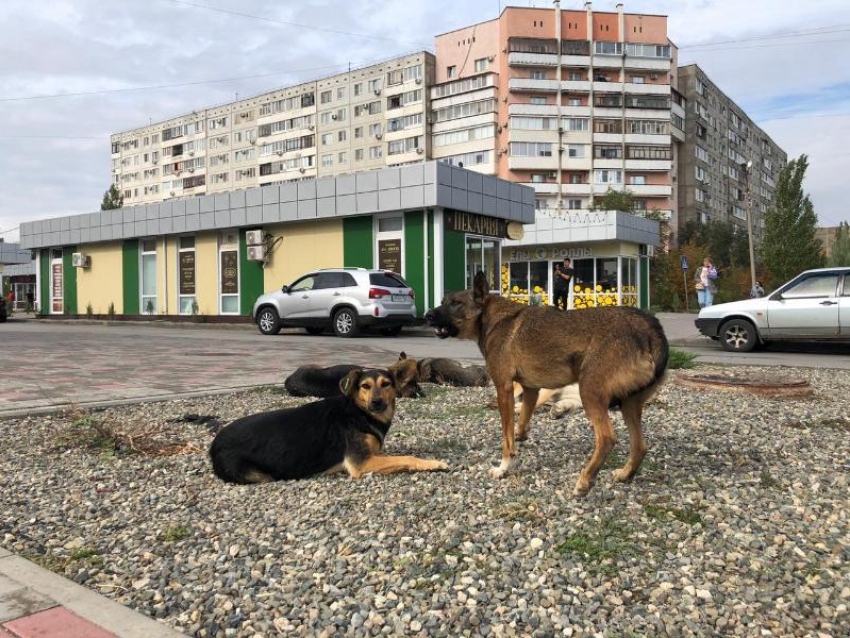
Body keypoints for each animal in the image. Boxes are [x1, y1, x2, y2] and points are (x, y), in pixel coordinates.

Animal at [212, 368, 448, 482]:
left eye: (386, 384)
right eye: (365, 386)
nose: (376, 402)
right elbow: (406, 458)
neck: (358, 412)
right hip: (258, 475)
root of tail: (214, 444)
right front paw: (433, 463)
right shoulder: (361, 463)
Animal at [428, 272, 664, 498]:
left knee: (607, 439)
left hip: (589, 392)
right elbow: (522, 421)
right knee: (640, 446)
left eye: (456, 303)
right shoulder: (531, 389)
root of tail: (650, 327)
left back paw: (584, 481)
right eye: (442, 301)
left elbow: (506, 437)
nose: (427, 315)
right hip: (628, 405)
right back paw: (625, 474)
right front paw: (520, 438)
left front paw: (504, 467)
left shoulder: (503, 388)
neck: (493, 319)